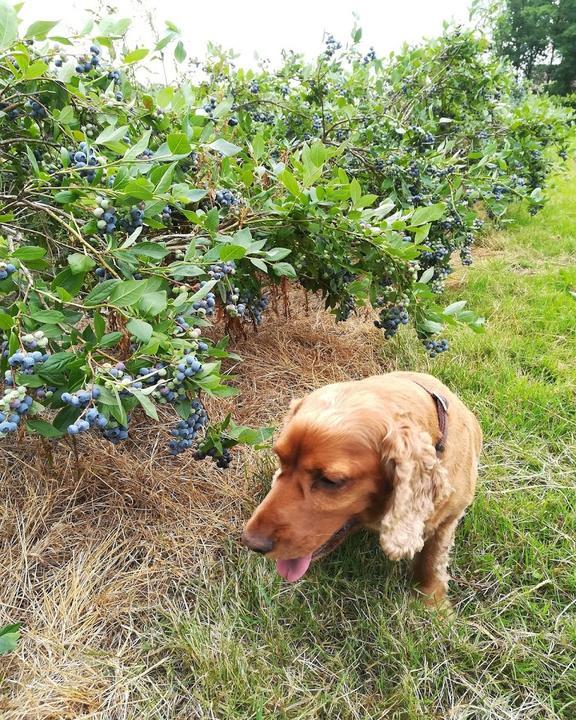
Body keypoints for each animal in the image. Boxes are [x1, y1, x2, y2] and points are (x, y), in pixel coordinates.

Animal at [241, 372, 484, 600]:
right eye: (280, 459)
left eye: (329, 481)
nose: (251, 543)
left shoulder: (448, 517)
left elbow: (431, 560)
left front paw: (433, 603)